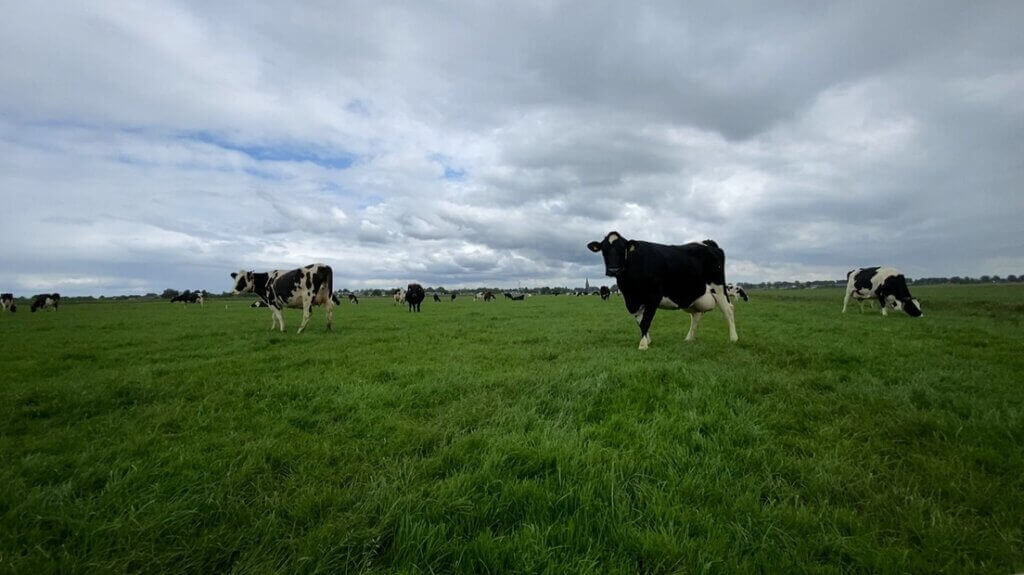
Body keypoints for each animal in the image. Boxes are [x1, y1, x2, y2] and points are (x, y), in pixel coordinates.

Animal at [588, 231, 738, 348]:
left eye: (622, 249)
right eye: (604, 251)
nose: (613, 270)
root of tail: (707, 242)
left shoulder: (653, 297)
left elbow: (645, 321)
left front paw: (643, 344)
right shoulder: (633, 301)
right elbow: (640, 322)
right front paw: (647, 340)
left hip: (719, 288)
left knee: (728, 310)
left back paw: (734, 338)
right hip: (692, 296)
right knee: (696, 315)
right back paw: (689, 339)